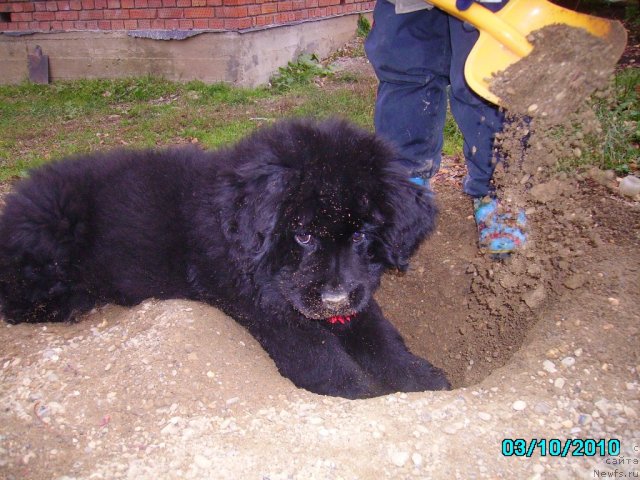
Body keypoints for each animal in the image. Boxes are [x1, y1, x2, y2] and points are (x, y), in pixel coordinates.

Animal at [0, 119, 450, 398]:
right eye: (302, 235)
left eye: (360, 235)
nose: (334, 299)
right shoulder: (269, 311)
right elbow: (318, 354)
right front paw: (361, 392)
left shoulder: (354, 295)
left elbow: (382, 337)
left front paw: (423, 378)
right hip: (51, 228)